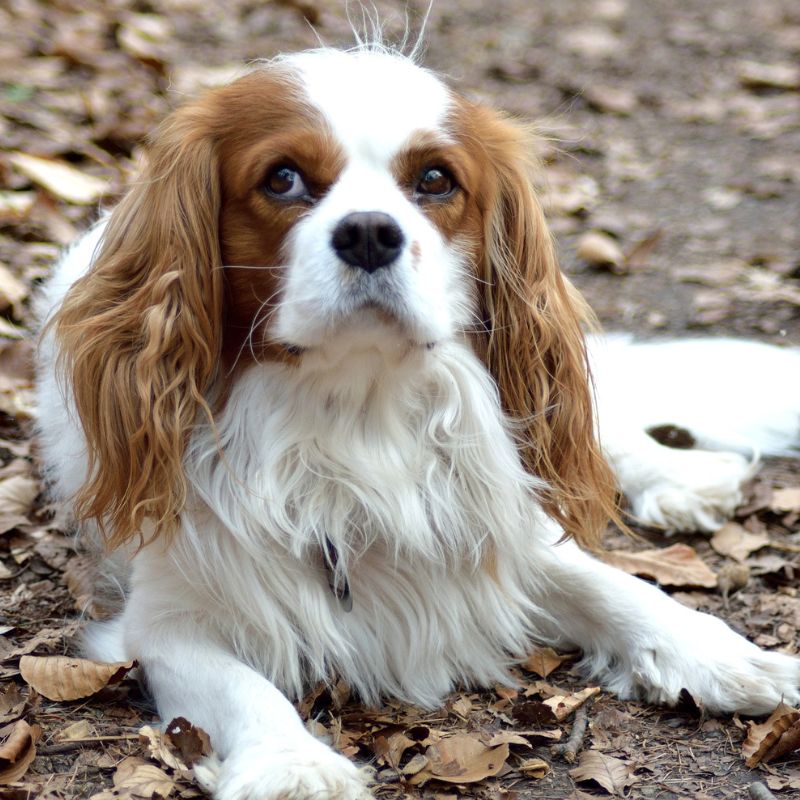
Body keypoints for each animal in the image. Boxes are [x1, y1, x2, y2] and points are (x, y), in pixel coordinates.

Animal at [34, 45, 796, 800]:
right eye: (282, 179)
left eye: (434, 179)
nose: (371, 232)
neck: (357, 411)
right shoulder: (164, 618)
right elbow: (241, 687)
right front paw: (294, 767)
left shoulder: (496, 523)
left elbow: (617, 587)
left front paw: (727, 654)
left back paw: (681, 477)